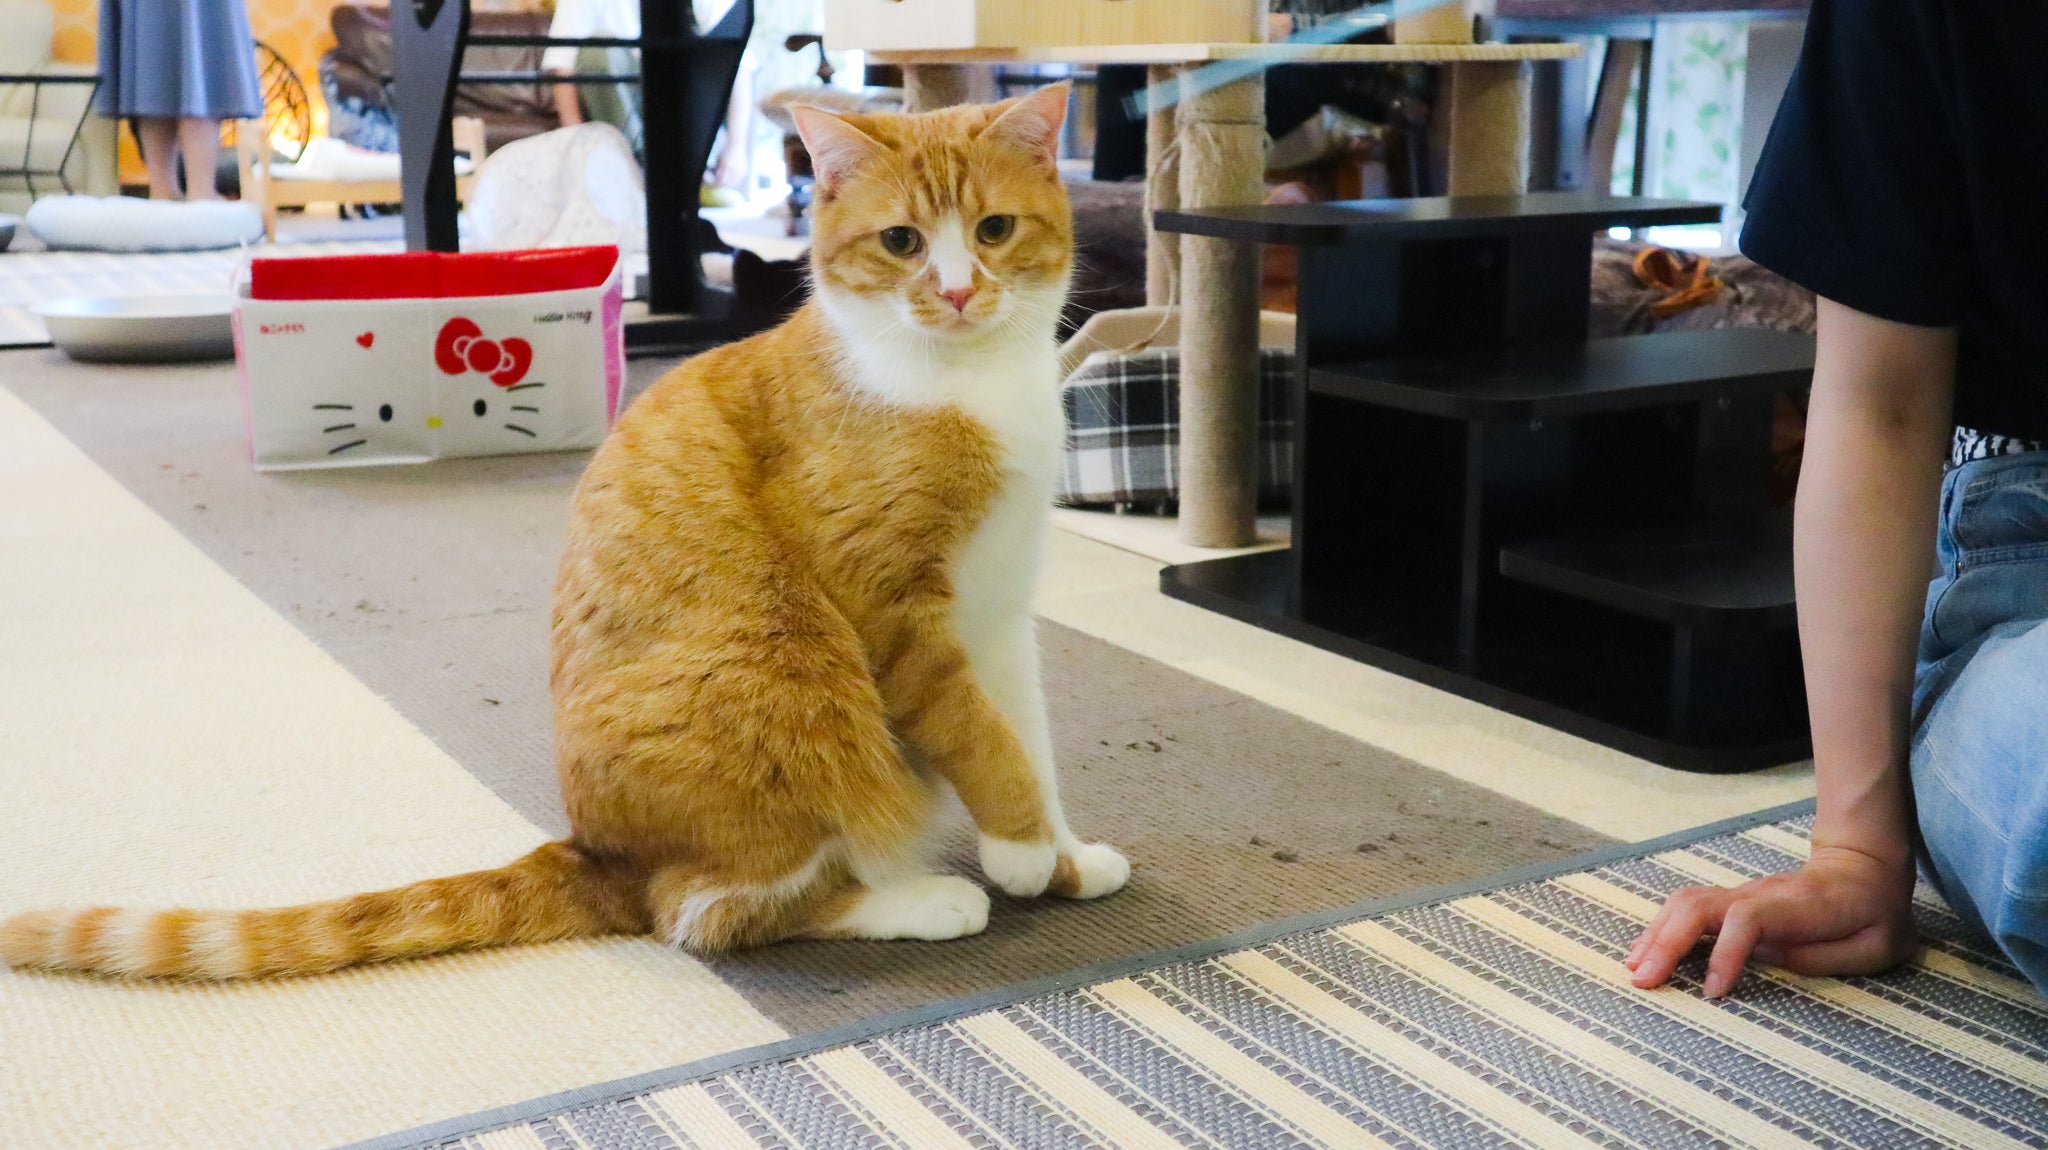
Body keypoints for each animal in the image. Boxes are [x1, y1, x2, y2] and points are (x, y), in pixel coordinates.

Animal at [0, 82, 1129, 980]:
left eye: (992, 230)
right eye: (902, 242)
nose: (958, 290)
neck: (968, 387)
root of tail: (595, 853)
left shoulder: (999, 610)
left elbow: (1024, 735)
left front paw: (1063, 852)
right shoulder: (889, 605)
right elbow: (977, 733)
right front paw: (1019, 850)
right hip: (787, 659)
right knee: (705, 911)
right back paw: (921, 899)